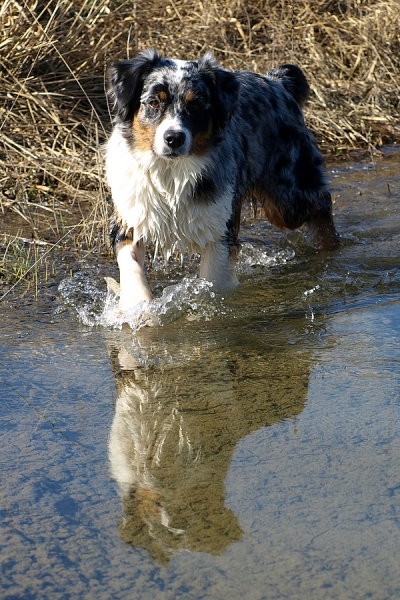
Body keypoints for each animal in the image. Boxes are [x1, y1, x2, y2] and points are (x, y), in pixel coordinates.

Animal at [105, 49, 338, 312]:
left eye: (196, 104)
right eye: (154, 102)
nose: (174, 138)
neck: (171, 174)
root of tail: (277, 82)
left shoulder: (219, 227)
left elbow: (214, 280)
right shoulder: (131, 216)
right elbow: (132, 266)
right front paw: (139, 306)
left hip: (288, 200)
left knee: (320, 205)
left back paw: (330, 249)